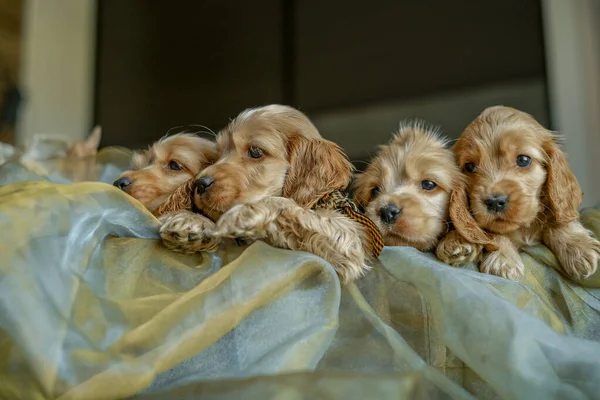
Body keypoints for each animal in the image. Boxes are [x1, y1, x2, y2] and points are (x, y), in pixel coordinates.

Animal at [159, 104, 384, 282]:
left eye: (255, 152)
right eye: (218, 155)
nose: (199, 183)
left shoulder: (348, 241)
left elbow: (285, 206)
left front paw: (244, 213)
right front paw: (192, 222)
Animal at [436, 106, 600, 282]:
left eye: (523, 160)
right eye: (470, 167)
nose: (495, 201)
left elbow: (558, 219)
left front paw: (580, 248)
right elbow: (492, 233)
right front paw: (501, 260)